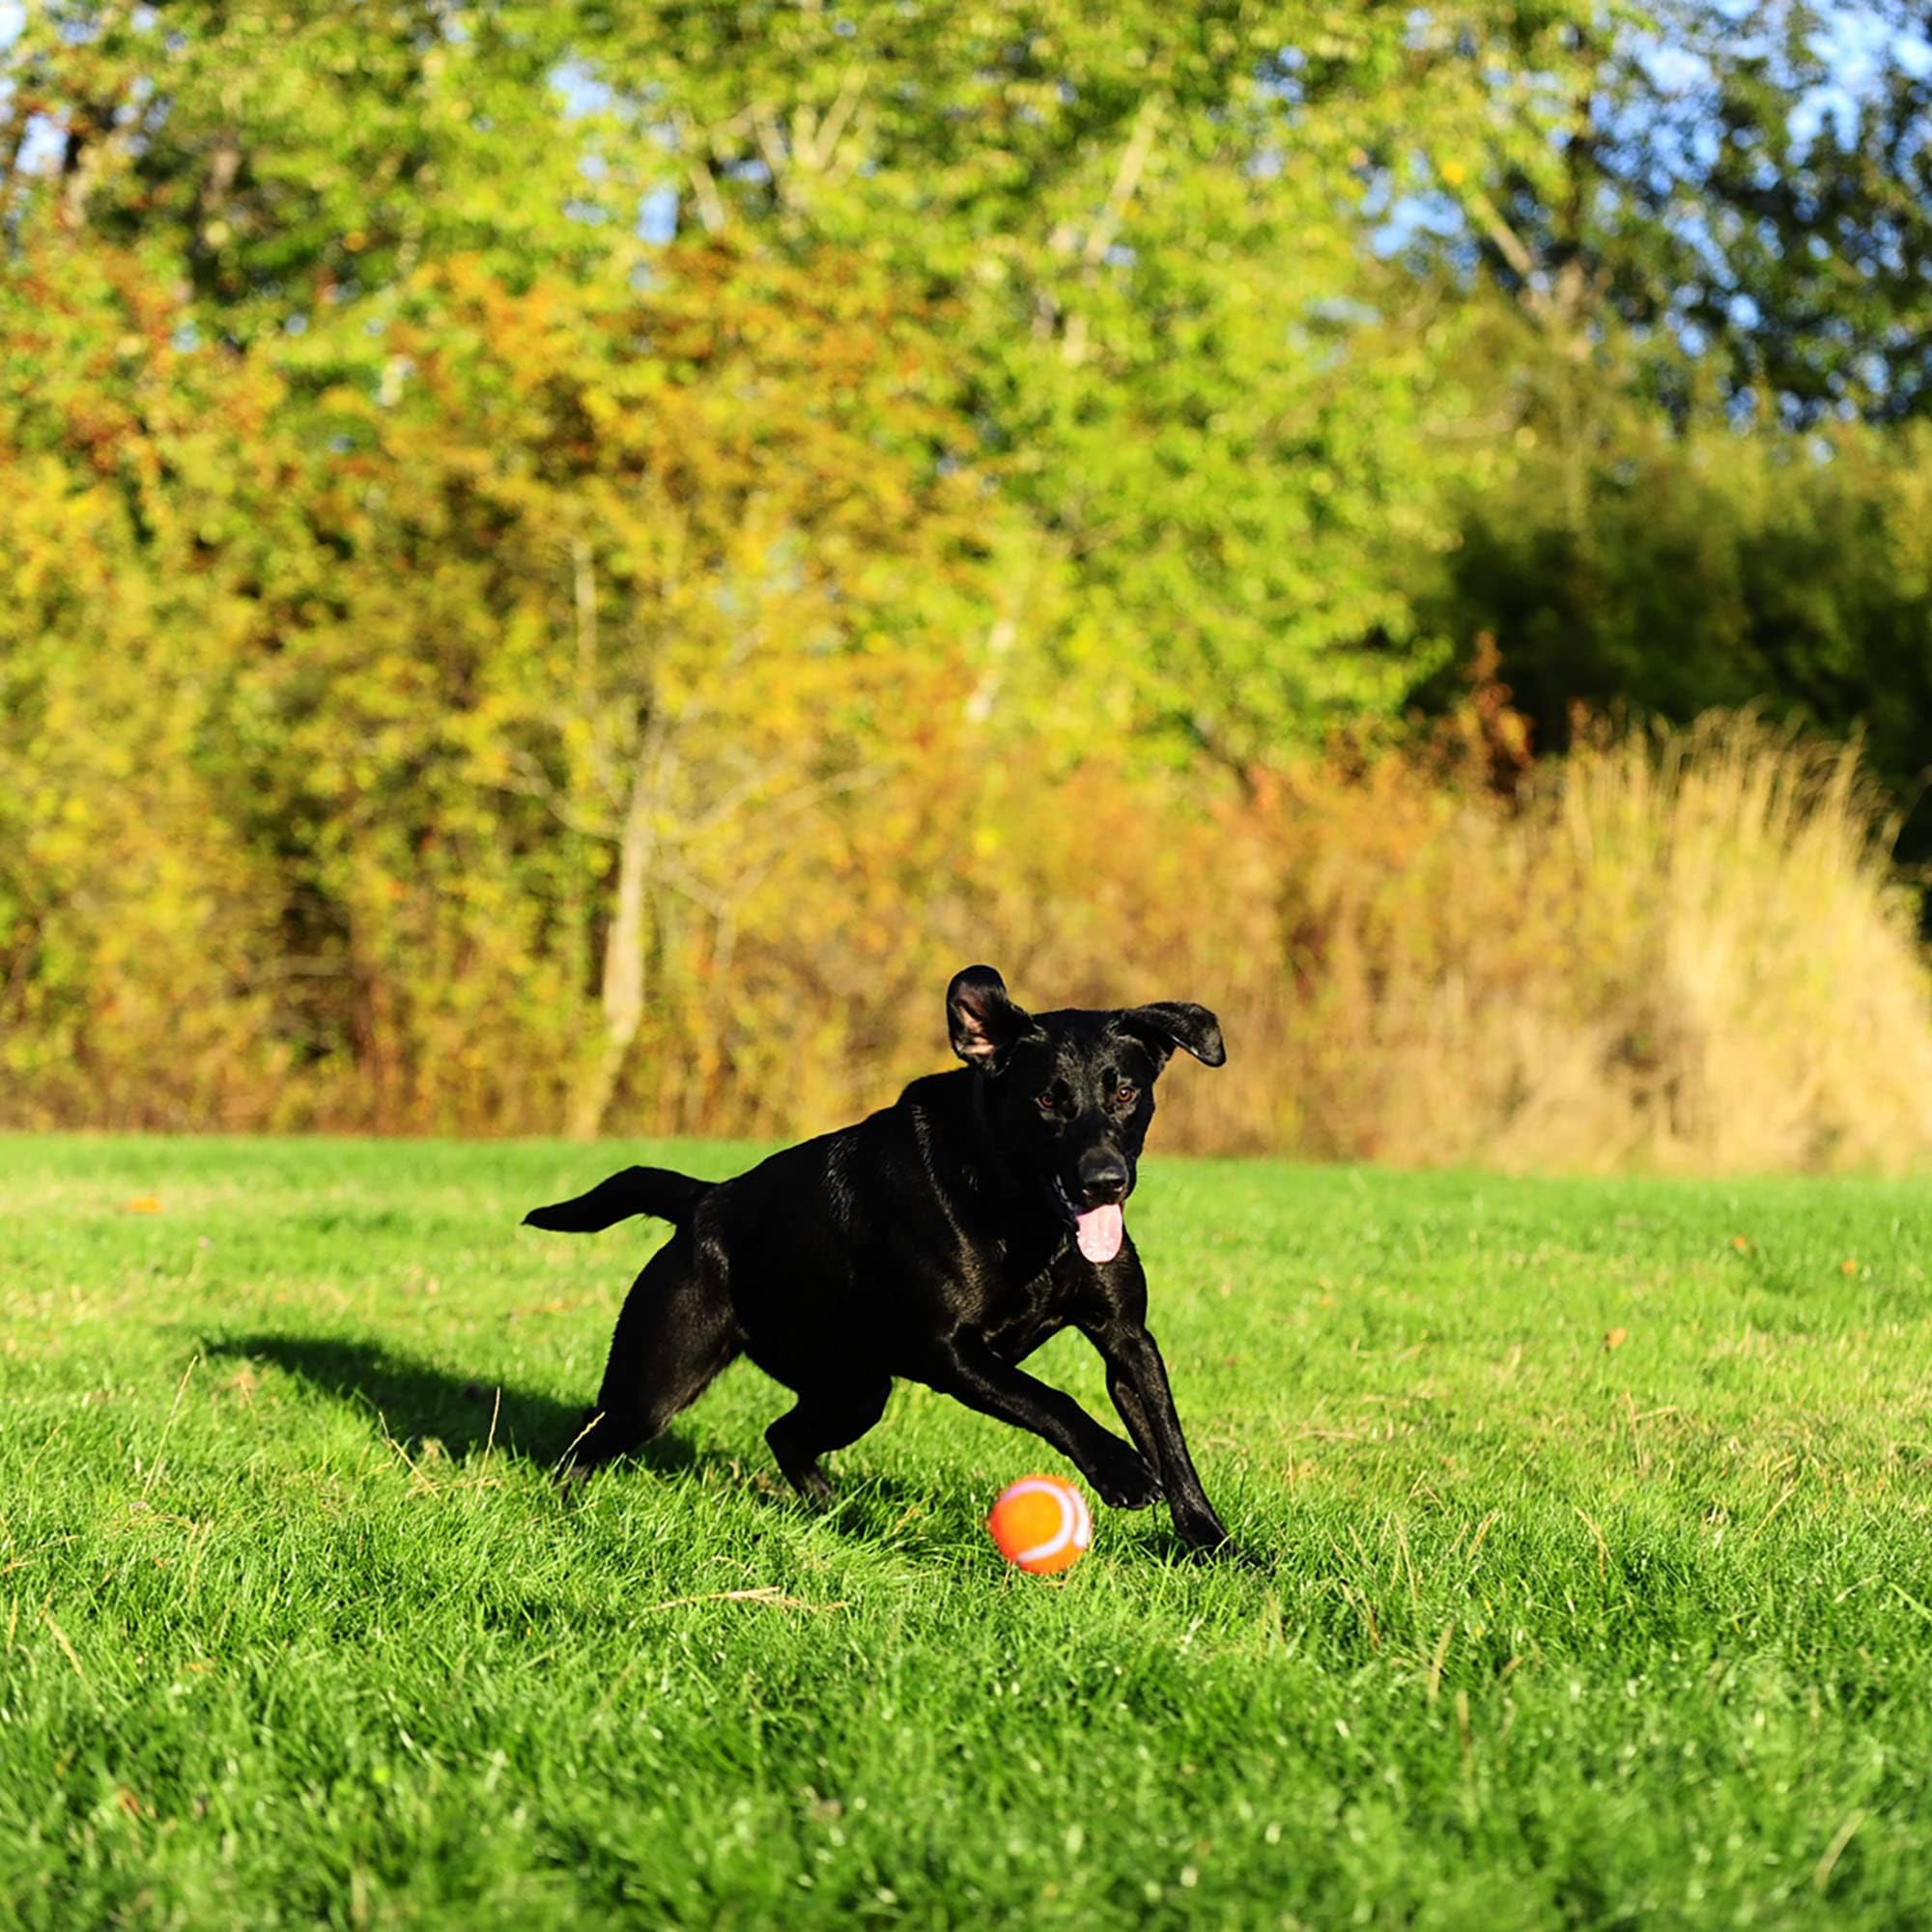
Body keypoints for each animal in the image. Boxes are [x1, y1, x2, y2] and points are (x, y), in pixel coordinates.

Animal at [522, 966, 1229, 1553]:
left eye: (1126, 1092)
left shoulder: (1127, 1339)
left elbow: (1172, 1445)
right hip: (658, 1380)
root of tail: (703, 1201)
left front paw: (1218, 1547)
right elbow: (1051, 1398)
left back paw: (831, 1507)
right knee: (589, 1435)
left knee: (783, 1434)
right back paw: (564, 1508)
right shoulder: (952, 1353)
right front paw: (1120, 1470)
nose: (1103, 1182)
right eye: (1047, 1100)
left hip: (855, 1390)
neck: (1023, 1215)